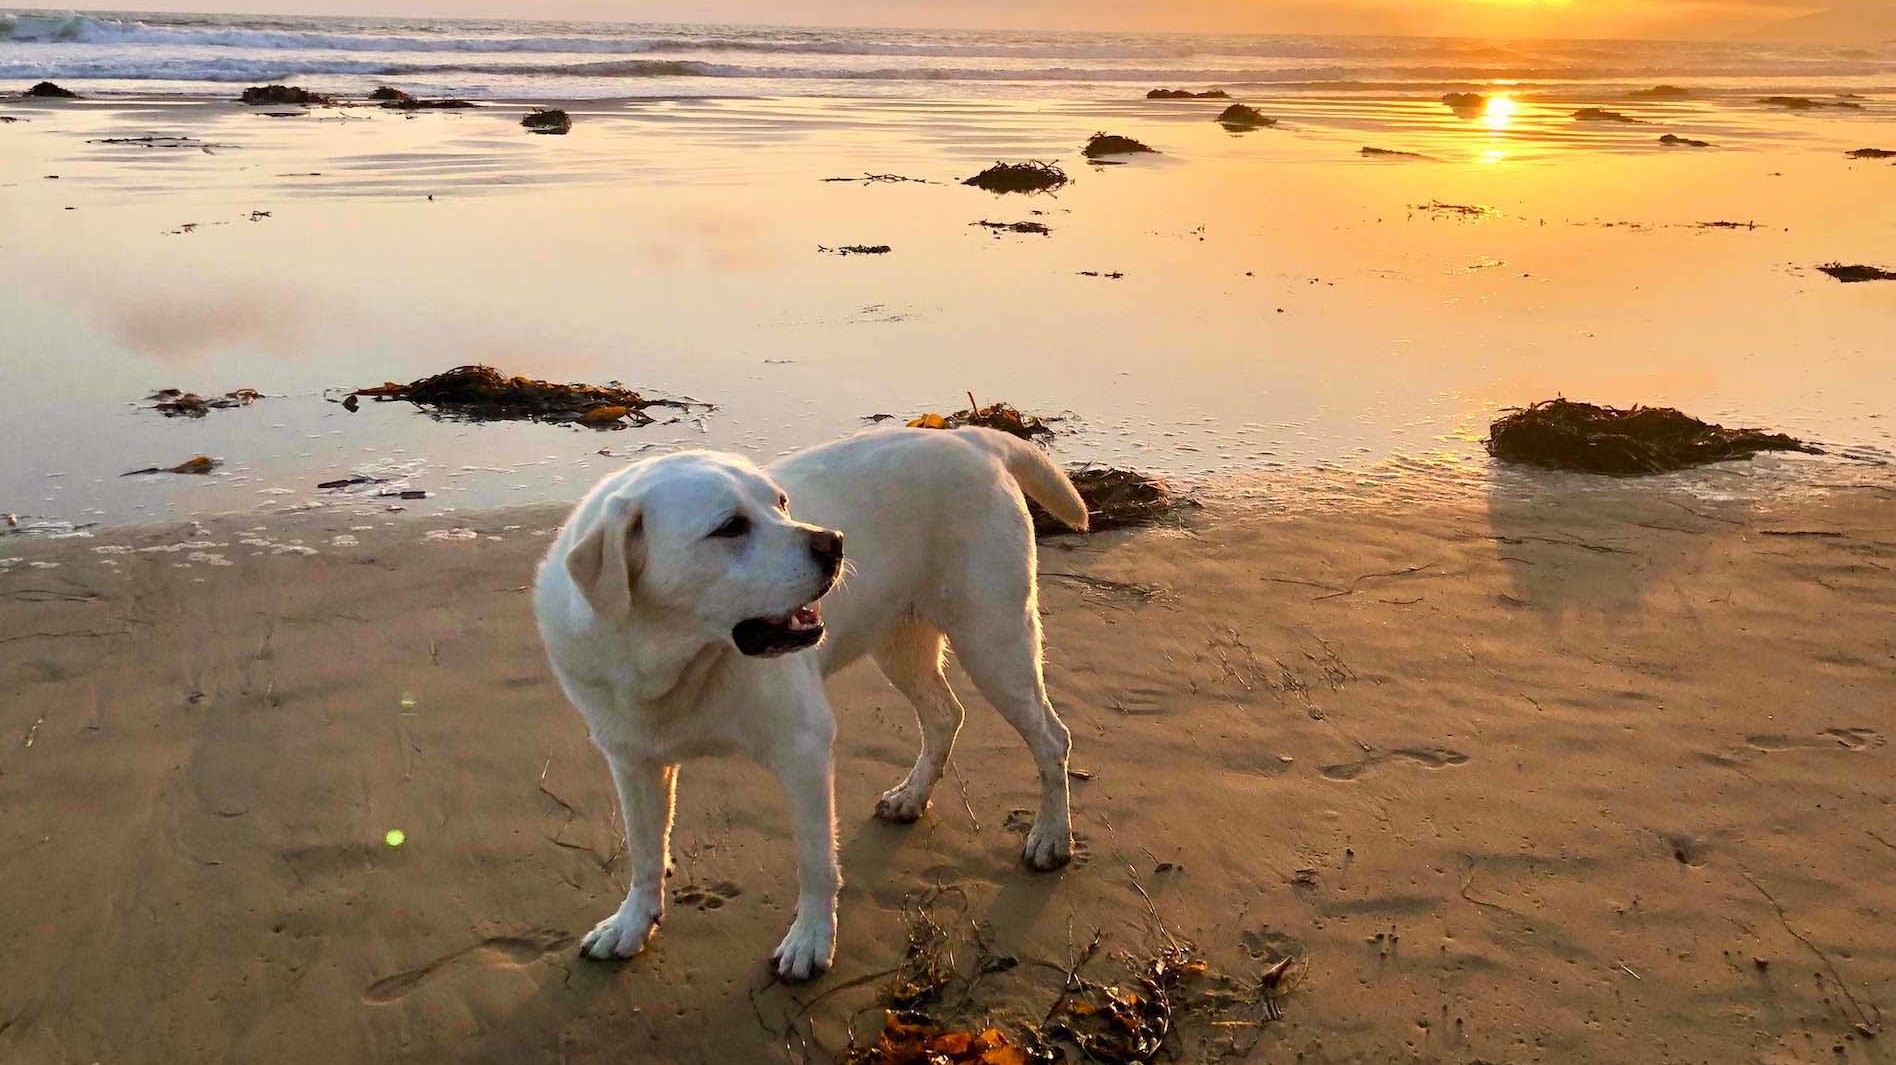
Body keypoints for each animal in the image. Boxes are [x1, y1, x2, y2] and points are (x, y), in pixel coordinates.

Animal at [542, 426, 1092, 977]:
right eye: (730, 527)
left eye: (781, 503)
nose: (835, 541)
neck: (671, 662)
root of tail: (969, 437)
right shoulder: (631, 760)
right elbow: (643, 849)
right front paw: (631, 923)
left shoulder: (803, 746)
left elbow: (813, 858)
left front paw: (809, 939)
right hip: (900, 643)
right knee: (945, 714)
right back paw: (912, 796)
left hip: (992, 640)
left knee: (1052, 738)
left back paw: (1051, 836)